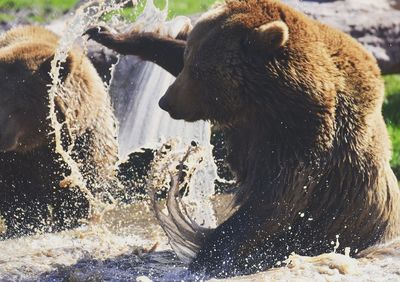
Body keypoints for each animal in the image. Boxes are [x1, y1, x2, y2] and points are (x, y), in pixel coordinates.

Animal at [86, 0, 400, 278]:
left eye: (199, 70)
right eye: (188, 60)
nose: (165, 101)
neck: (266, 101)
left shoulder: (302, 136)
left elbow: (273, 201)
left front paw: (208, 255)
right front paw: (108, 33)